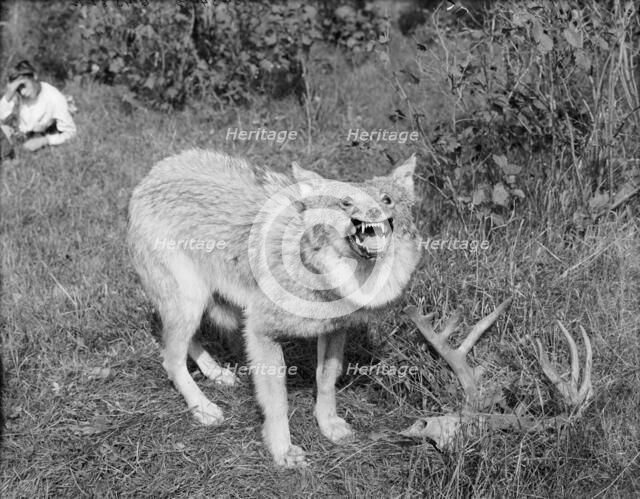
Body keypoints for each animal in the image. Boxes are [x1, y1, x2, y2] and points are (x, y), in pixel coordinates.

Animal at [127, 149, 421, 467]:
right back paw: (203, 408)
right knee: (170, 360)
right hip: (190, 302)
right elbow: (277, 401)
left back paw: (217, 373)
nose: (375, 212)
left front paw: (328, 425)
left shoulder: (334, 330)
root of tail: (151, 175)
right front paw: (282, 451)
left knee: (181, 346)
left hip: (201, 304)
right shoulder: (260, 331)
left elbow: (326, 380)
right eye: (346, 203)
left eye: (386, 199)